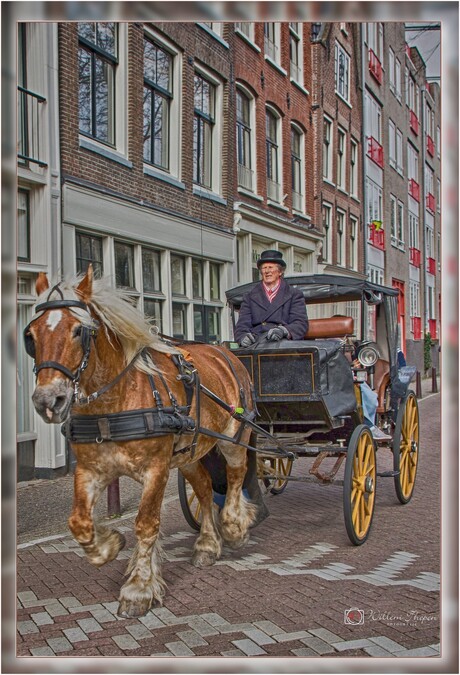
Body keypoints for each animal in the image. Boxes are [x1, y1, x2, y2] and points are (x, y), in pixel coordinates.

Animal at [25, 264, 260, 616]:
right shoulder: (90, 470)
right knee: (205, 489)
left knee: (235, 477)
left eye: (79, 331)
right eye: (31, 335)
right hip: (188, 454)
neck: (115, 402)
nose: (47, 400)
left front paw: (138, 589)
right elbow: (79, 522)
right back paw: (207, 545)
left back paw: (233, 527)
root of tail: (225, 352)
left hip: (233, 438)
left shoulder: (156, 470)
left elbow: (146, 524)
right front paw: (109, 545)